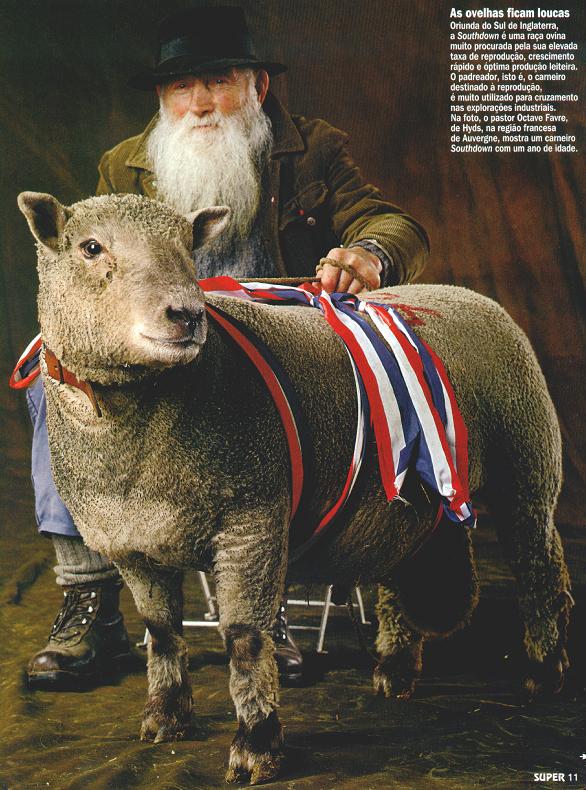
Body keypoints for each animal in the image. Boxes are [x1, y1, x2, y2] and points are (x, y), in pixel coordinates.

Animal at [18, 191, 572, 786]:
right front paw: (166, 718)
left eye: (189, 247)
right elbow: (162, 632)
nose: (186, 315)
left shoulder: (251, 520)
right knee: (399, 573)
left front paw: (255, 744)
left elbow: (244, 637)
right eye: (90, 248)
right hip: (404, 499)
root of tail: (463, 292)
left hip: (527, 462)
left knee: (541, 571)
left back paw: (543, 672)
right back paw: (396, 668)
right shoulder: (132, 544)